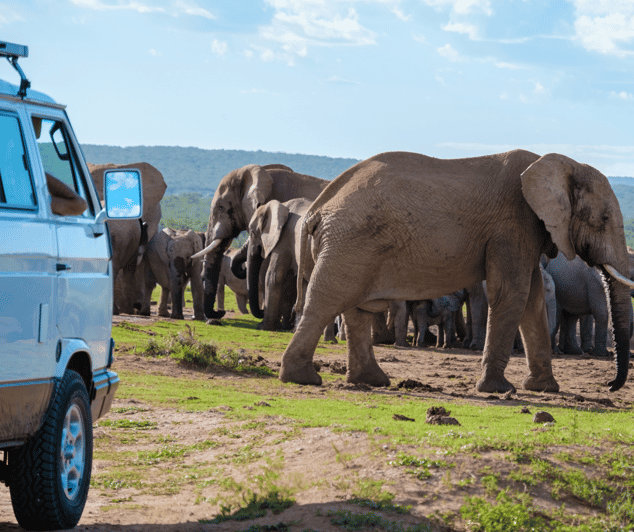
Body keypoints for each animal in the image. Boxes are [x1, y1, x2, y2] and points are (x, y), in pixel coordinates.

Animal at [282, 150, 632, 394]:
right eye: (602, 220)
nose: (609, 387)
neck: (558, 164)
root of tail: (319, 206)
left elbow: (531, 301)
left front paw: (545, 389)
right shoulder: (513, 226)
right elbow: (512, 294)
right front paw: (498, 390)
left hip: (354, 245)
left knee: (357, 309)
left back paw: (373, 381)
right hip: (350, 242)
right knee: (326, 302)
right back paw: (303, 379)